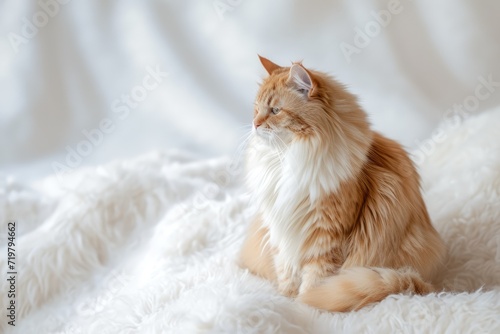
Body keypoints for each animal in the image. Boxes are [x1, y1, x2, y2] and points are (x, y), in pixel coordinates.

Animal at [238, 55, 446, 314]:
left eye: (275, 110)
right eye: (256, 109)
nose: (255, 124)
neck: (288, 157)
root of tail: (425, 283)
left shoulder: (327, 237)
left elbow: (315, 279)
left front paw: (305, 304)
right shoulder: (280, 231)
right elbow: (286, 273)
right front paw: (285, 299)